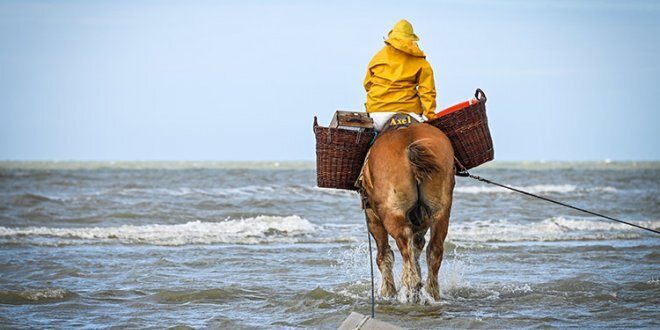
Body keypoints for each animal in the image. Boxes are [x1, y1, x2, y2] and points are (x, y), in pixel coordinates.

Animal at [356, 122, 454, 302]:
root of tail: (410, 146)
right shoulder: (422, 221)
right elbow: (418, 244)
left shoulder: (373, 217)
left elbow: (384, 255)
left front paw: (387, 292)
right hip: (440, 210)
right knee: (434, 249)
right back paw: (431, 292)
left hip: (392, 212)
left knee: (403, 242)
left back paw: (411, 287)